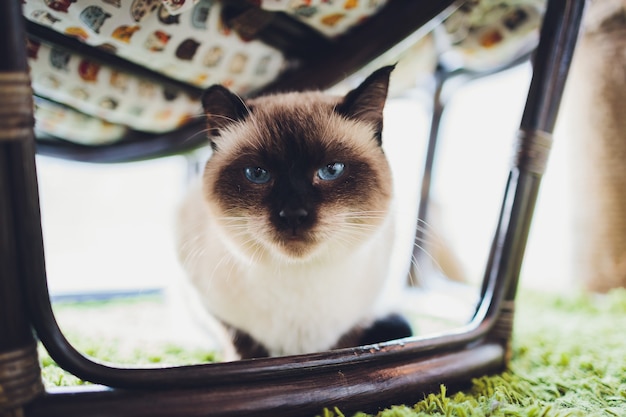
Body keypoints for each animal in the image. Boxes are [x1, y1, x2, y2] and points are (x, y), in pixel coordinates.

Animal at [176, 66, 410, 360]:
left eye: (332, 170)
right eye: (257, 174)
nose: (293, 215)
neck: (300, 278)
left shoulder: (353, 324)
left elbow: (343, 348)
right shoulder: (217, 313)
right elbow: (246, 350)